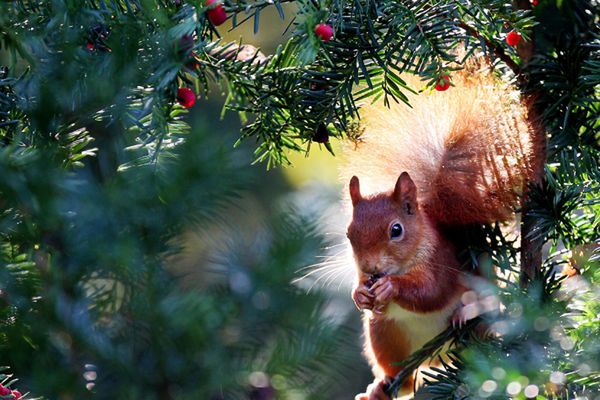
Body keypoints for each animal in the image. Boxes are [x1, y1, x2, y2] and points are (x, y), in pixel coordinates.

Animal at [342, 67, 544, 398]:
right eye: (348, 234)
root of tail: (437, 357)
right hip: (384, 334)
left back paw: (469, 313)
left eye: (396, 230)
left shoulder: (442, 261)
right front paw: (359, 293)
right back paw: (381, 387)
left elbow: (431, 292)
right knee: (402, 378)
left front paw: (391, 287)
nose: (371, 269)